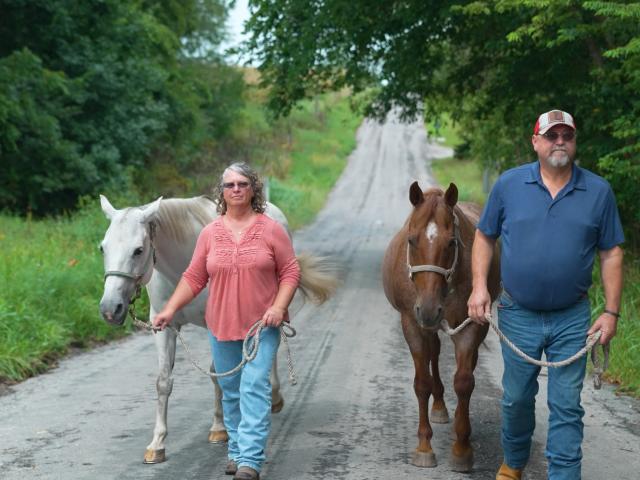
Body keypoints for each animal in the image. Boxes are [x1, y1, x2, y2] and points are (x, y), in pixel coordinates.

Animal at [382, 182, 500, 472]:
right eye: (411, 240)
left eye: (451, 242)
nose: (428, 308)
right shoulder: (412, 324)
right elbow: (422, 383)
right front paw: (424, 447)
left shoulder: (471, 326)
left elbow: (464, 382)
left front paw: (462, 448)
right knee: (434, 352)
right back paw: (438, 407)